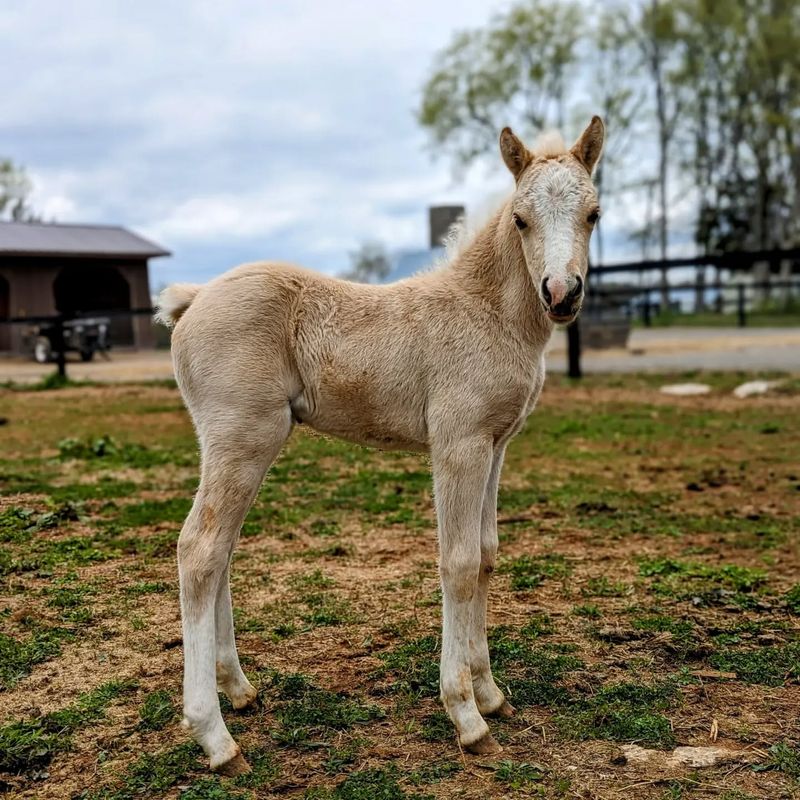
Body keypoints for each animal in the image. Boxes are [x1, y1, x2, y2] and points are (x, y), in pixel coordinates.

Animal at [159, 119, 604, 776]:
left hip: (229, 445)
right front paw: (466, 717)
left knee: (221, 554)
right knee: (199, 550)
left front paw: (492, 694)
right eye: (521, 219)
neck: (487, 313)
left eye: (594, 214)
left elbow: (487, 554)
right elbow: (458, 563)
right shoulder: (458, 445)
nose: (560, 293)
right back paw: (215, 738)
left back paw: (238, 690)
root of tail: (193, 299)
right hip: (243, 438)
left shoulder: (496, 446)